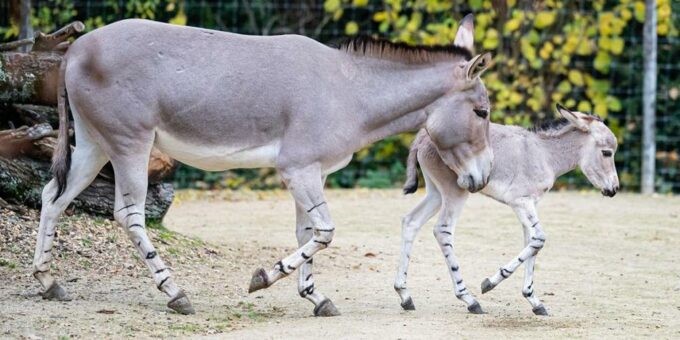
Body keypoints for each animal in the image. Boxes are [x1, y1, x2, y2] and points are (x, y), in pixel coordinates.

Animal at [33, 15, 494, 318]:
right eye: (483, 112)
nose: (482, 178)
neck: (348, 91)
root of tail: (76, 47)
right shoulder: (298, 169)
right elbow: (326, 232)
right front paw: (263, 278)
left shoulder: (314, 172)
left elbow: (308, 232)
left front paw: (315, 297)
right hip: (130, 143)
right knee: (128, 214)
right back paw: (175, 293)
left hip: (94, 144)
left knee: (53, 197)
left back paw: (47, 281)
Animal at [396, 105, 620, 314]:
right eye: (606, 152)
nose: (614, 190)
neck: (545, 154)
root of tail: (423, 137)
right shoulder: (521, 202)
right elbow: (539, 239)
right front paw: (490, 283)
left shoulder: (530, 205)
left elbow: (532, 242)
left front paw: (534, 301)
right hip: (455, 192)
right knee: (442, 230)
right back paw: (469, 299)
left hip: (435, 193)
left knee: (411, 221)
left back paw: (404, 294)